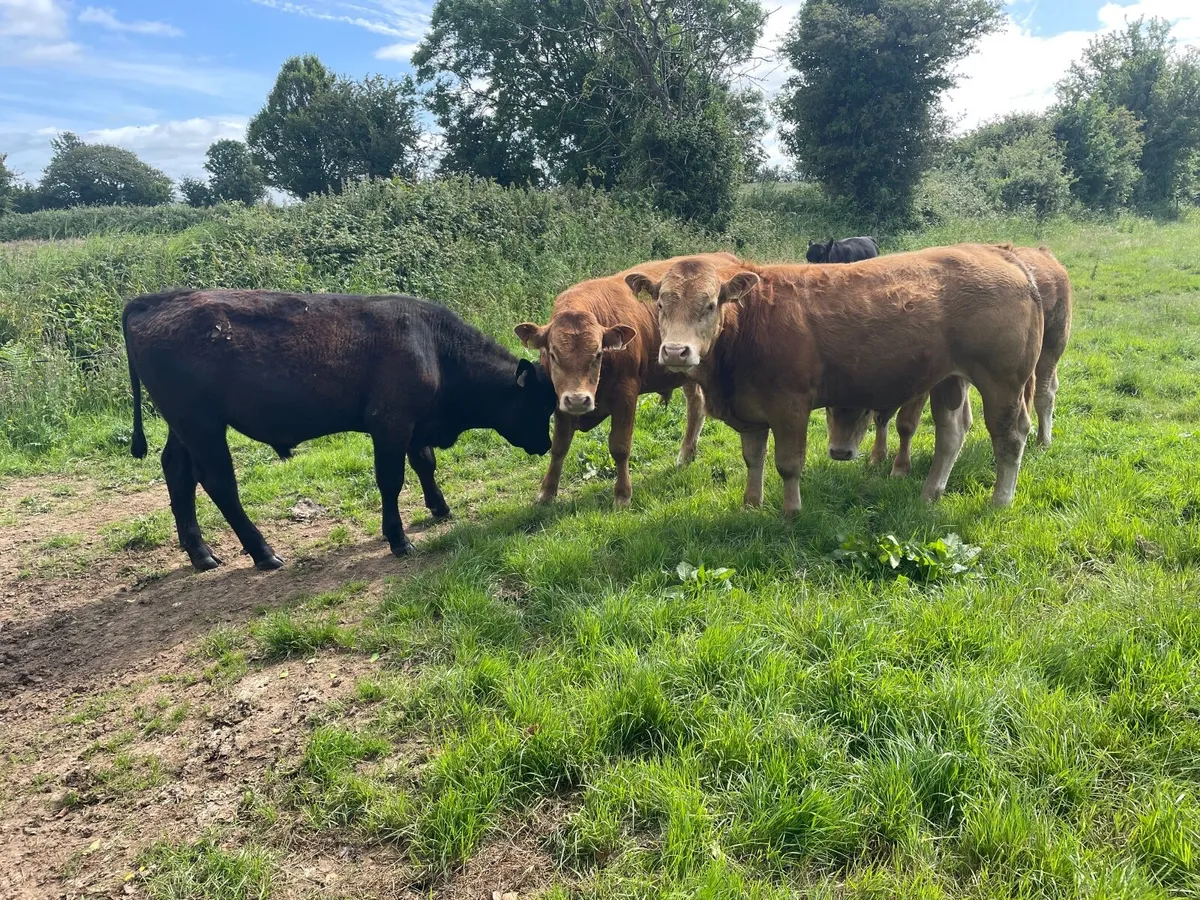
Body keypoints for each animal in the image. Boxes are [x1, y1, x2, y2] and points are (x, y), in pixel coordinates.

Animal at [123, 289, 557, 572]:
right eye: (541, 405)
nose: (546, 443)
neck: (433, 347)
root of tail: (155, 299)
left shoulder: (414, 425)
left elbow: (425, 463)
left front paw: (440, 507)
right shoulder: (390, 424)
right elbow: (391, 480)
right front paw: (398, 539)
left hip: (183, 427)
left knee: (177, 472)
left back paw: (201, 554)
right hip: (202, 425)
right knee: (218, 482)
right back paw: (263, 553)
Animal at [513, 253, 739, 507]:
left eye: (598, 354)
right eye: (553, 354)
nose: (579, 400)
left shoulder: (626, 394)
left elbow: (620, 447)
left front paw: (622, 495)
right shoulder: (560, 400)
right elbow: (559, 446)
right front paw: (547, 492)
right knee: (696, 405)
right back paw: (685, 455)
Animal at [625, 244, 1043, 517]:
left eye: (710, 304)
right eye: (660, 303)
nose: (676, 351)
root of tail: (1003, 256)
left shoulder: (790, 404)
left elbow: (788, 463)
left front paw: (791, 512)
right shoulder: (750, 406)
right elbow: (753, 458)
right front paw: (751, 504)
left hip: (1002, 381)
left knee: (1010, 435)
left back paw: (1000, 500)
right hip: (949, 380)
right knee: (951, 433)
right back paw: (930, 492)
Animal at [826, 244, 1072, 474]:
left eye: (863, 410)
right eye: (828, 408)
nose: (840, 452)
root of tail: (1043, 255)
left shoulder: (922, 387)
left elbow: (905, 424)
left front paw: (900, 467)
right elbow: (883, 419)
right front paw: (877, 457)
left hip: (1051, 349)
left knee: (1045, 393)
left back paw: (1042, 441)